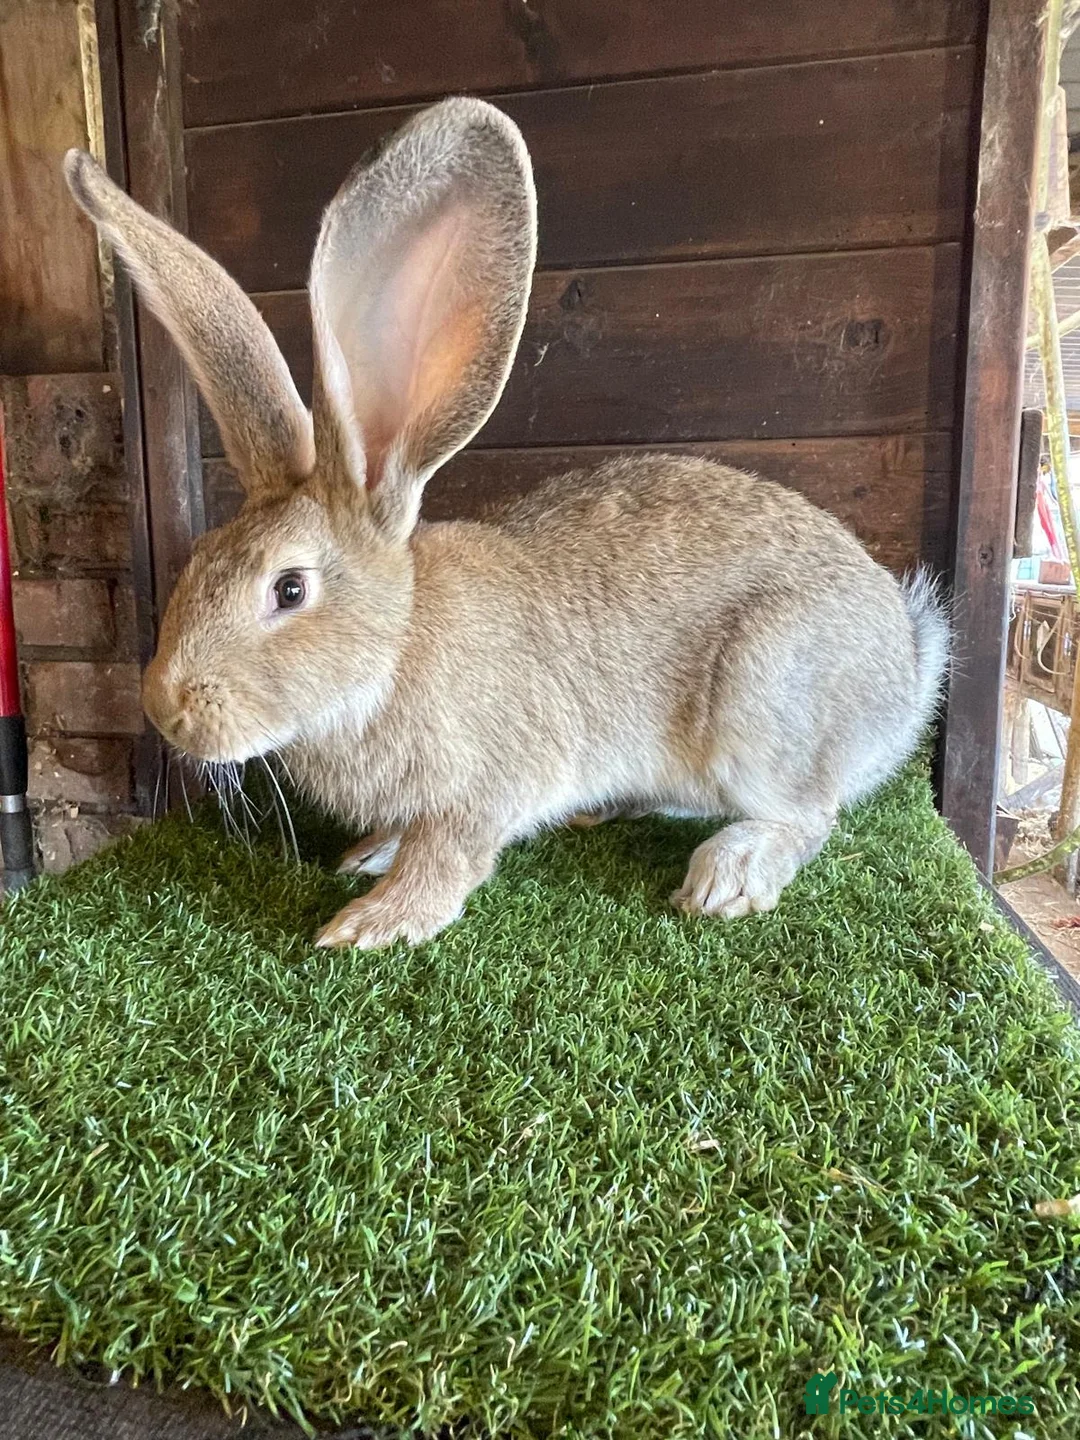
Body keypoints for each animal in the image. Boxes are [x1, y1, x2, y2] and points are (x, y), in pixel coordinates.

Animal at [63, 97, 948, 951]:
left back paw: (726, 876)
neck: (394, 648)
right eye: (199, 558)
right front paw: (367, 856)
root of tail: (905, 674)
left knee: (808, 813)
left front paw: (371, 923)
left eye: (288, 589)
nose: (164, 707)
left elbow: (448, 856)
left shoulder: (481, 788)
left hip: (764, 697)